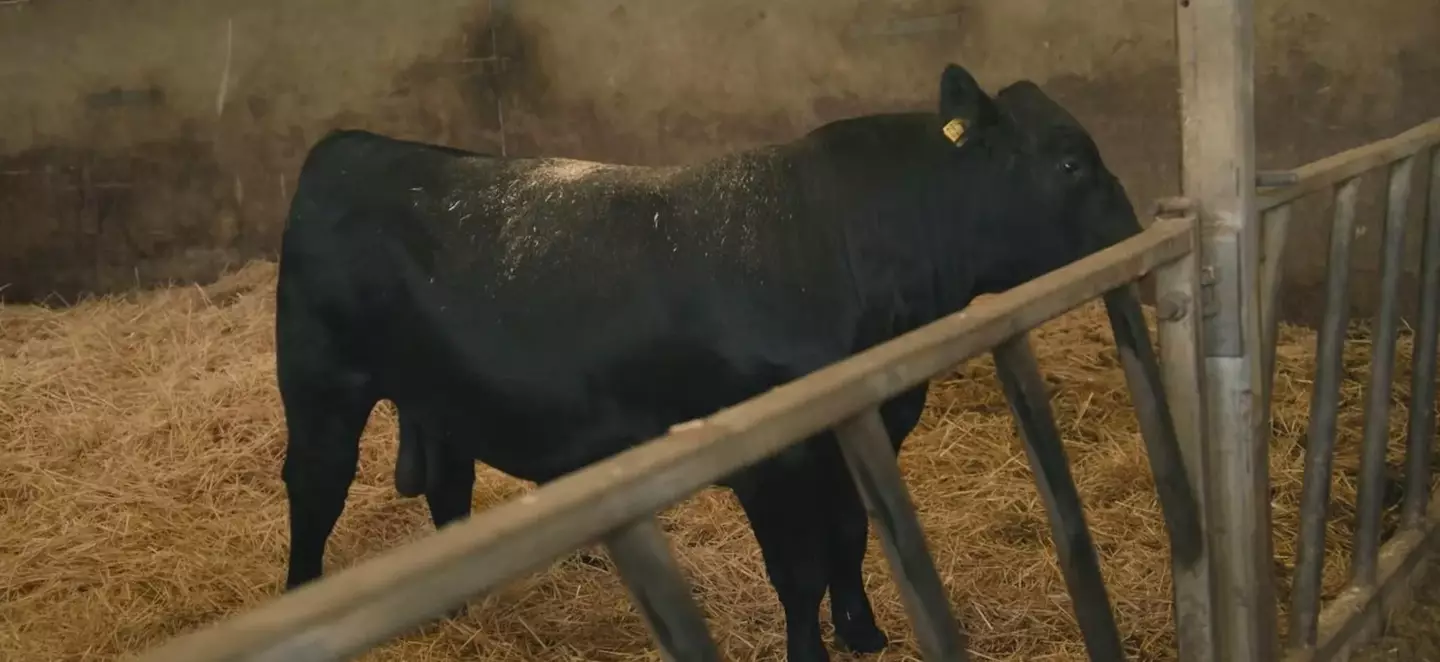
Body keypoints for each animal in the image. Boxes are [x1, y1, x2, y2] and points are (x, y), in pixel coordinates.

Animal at [274, 62, 1142, 662]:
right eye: (1071, 165)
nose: (1135, 232)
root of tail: (351, 144)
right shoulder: (775, 462)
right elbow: (799, 569)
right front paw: (811, 652)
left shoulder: (865, 431)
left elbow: (852, 535)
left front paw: (862, 632)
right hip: (321, 385)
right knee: (315, 491)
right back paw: (300, 593)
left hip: (441, 397)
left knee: (448, 489)